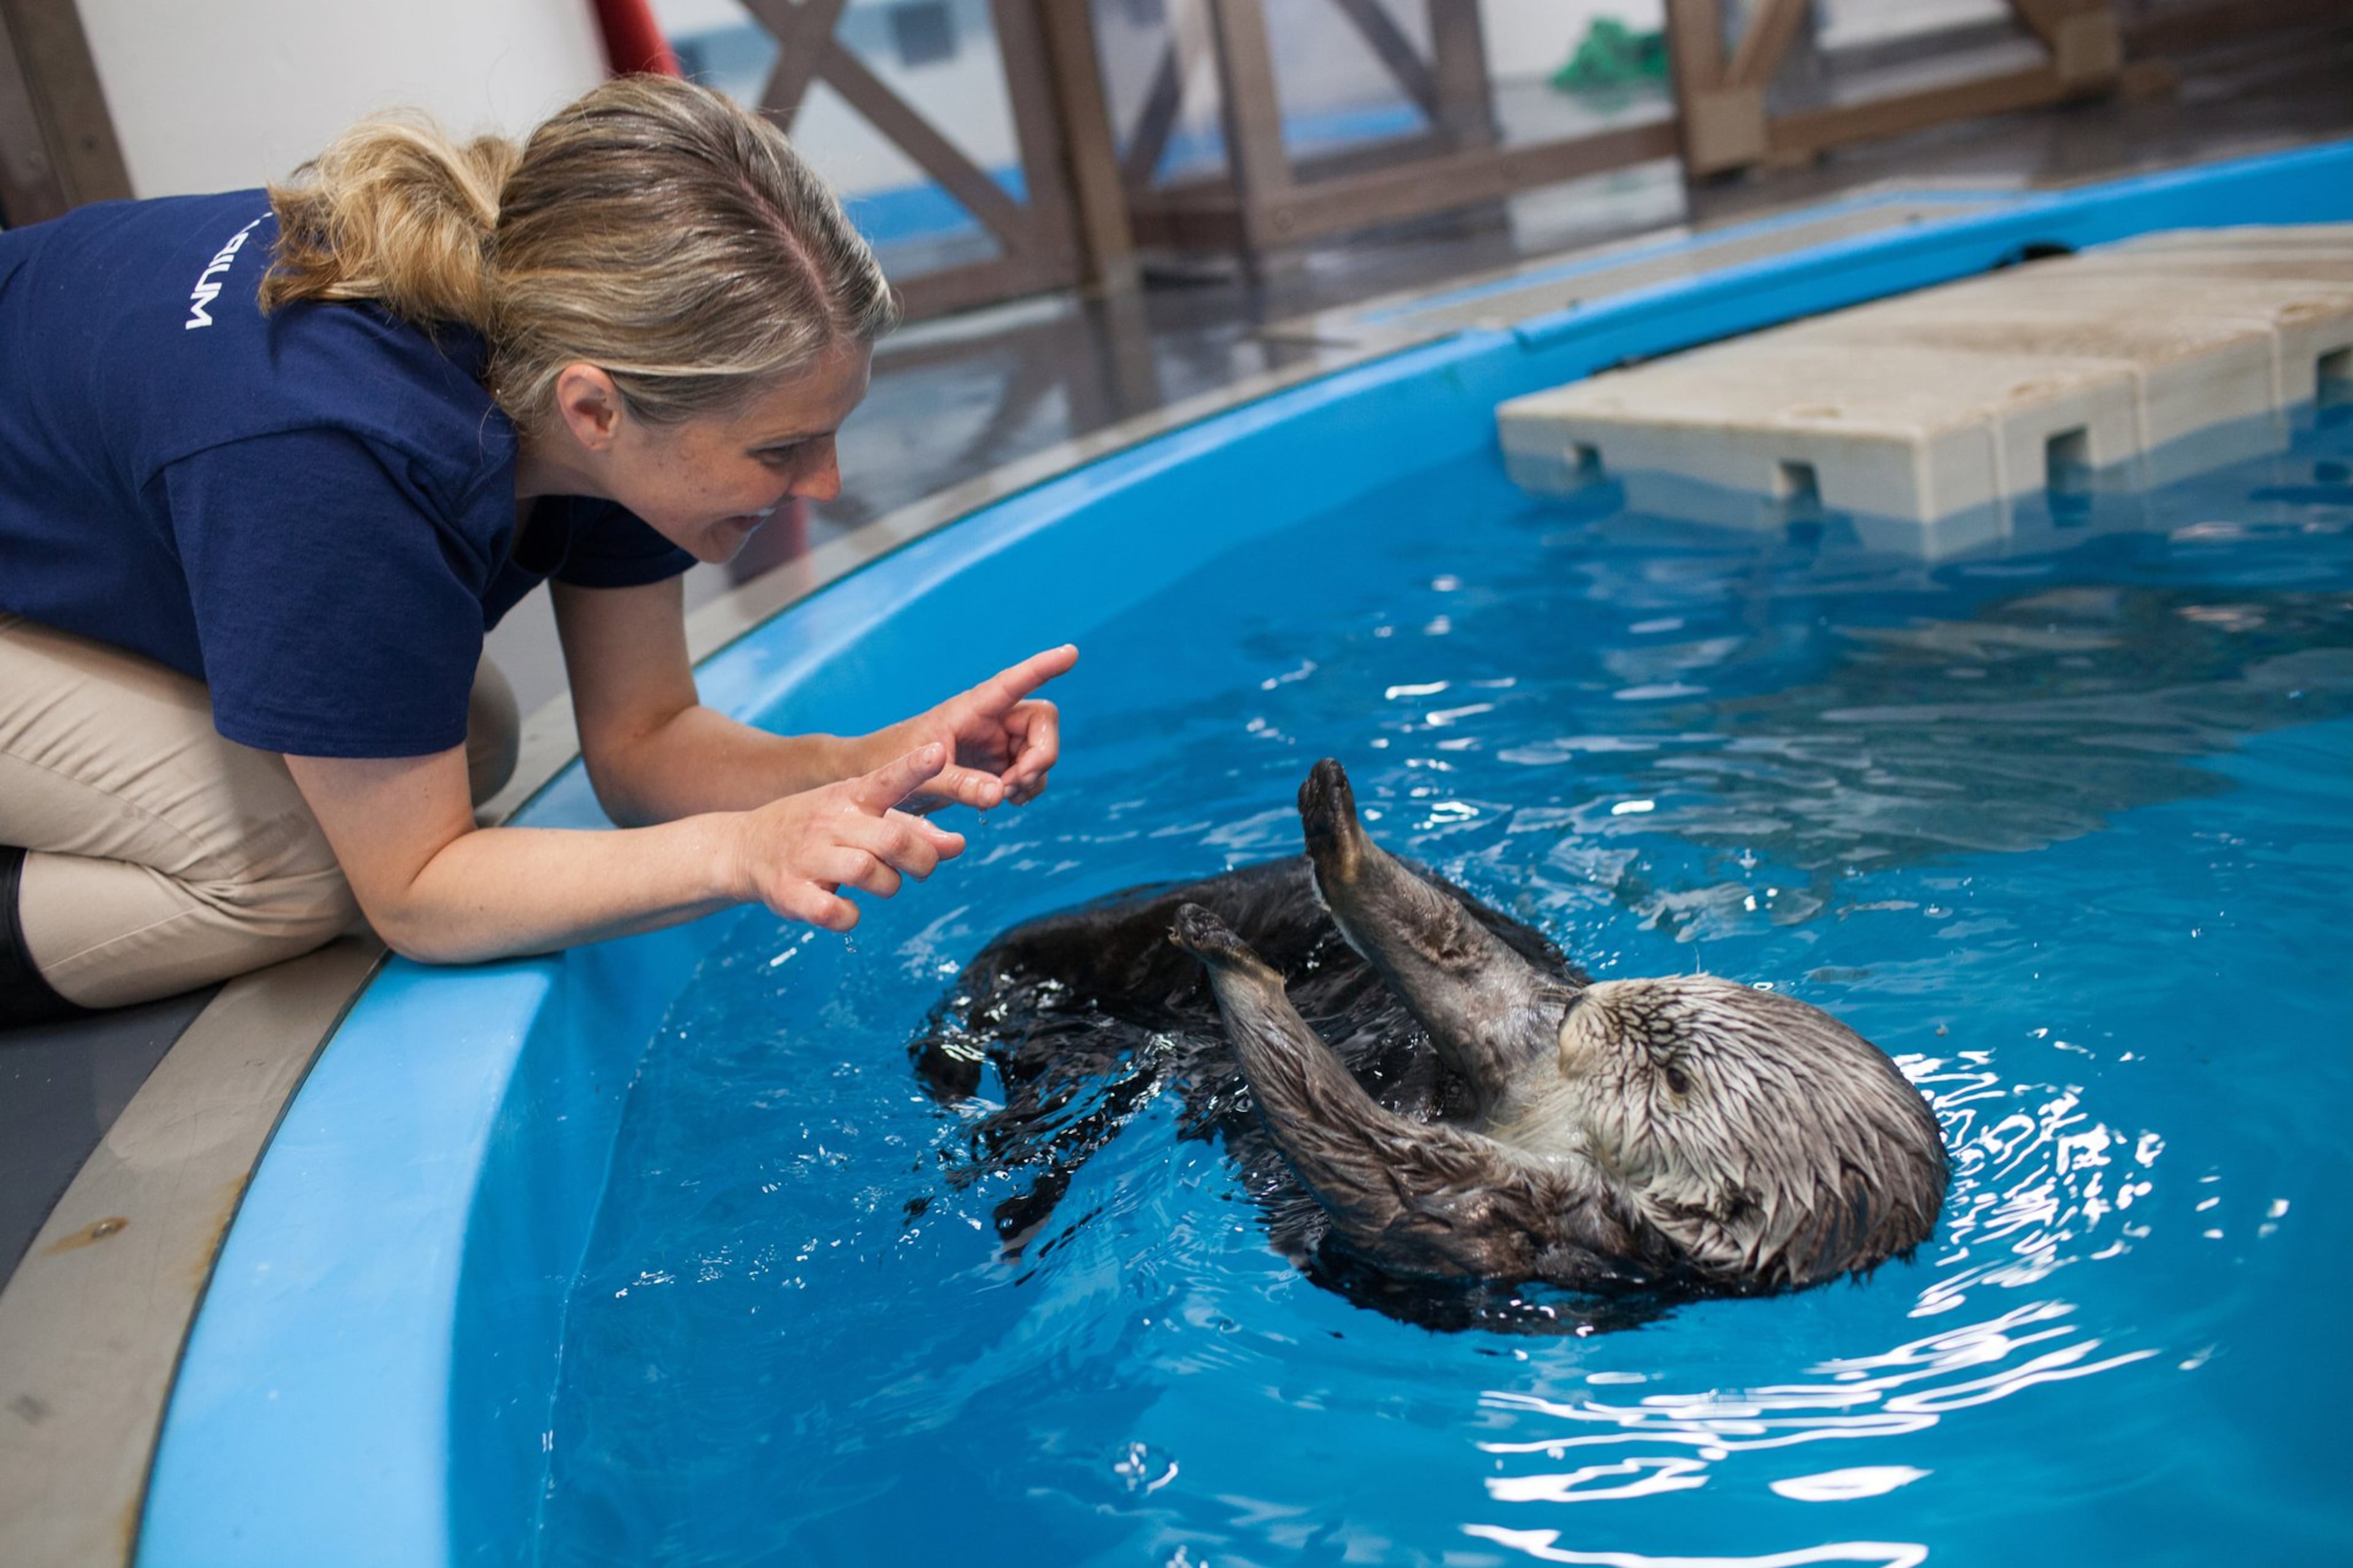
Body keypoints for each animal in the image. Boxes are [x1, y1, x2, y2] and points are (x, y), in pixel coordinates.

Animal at [912, 760, 1947, 1326]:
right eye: (1680, 988)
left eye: (1676, 1073)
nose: (1592, 1005)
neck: (1543, 1129)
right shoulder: (1519, 1046)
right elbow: (1469, 978)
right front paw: (1339, 828)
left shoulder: (1510, 1220)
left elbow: (1366, 1163)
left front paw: (1239, 971)